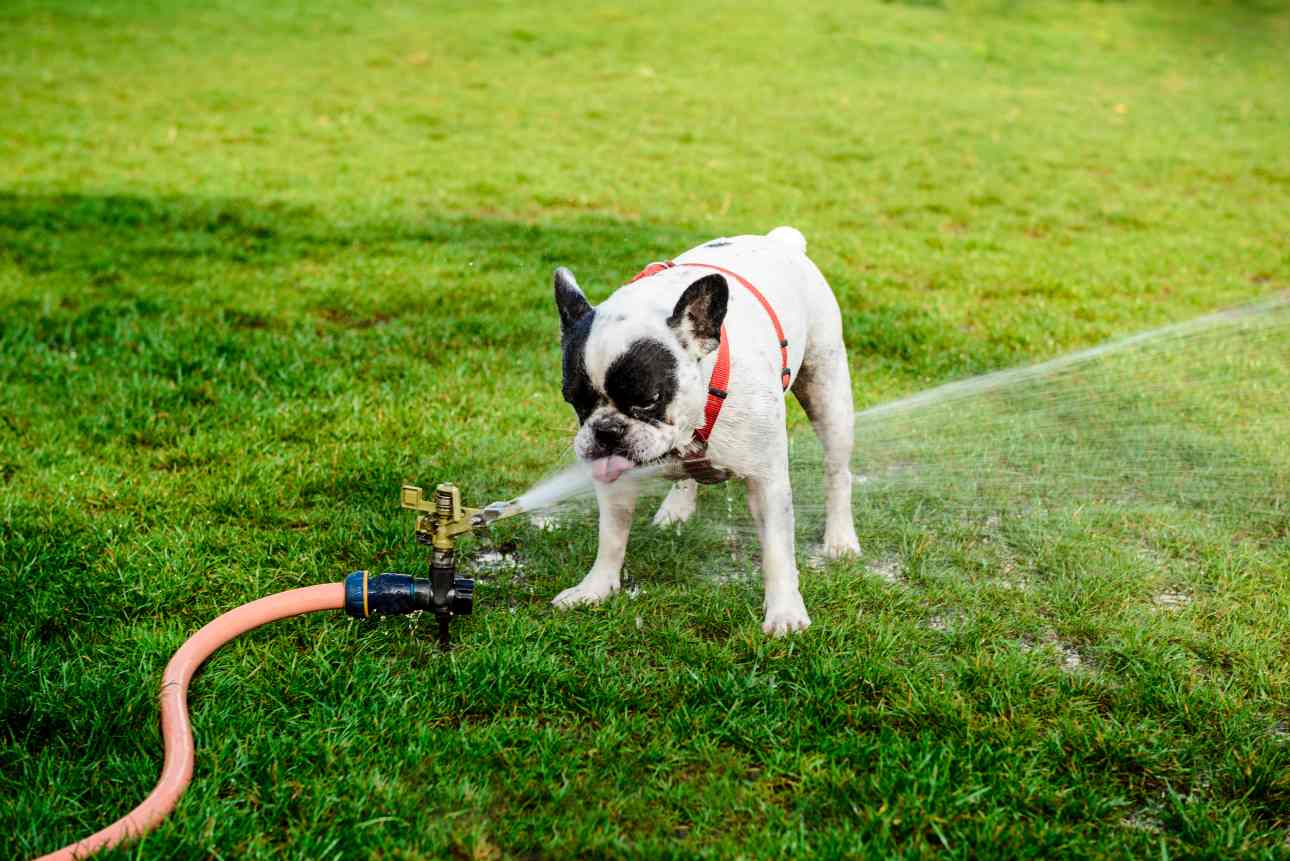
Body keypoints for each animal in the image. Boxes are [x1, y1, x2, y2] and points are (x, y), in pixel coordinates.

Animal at [546, 227, 856, 632]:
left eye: (649, 399)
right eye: (573, 399)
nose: (607, 431)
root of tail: (780, 239)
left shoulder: (767, 482)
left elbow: (777, 550)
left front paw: (785, 612)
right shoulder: (615, 479)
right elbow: (611, 536)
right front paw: (595, 588)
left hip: (828, 393)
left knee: (837, 472)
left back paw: (840, 539)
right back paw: (677, 507)